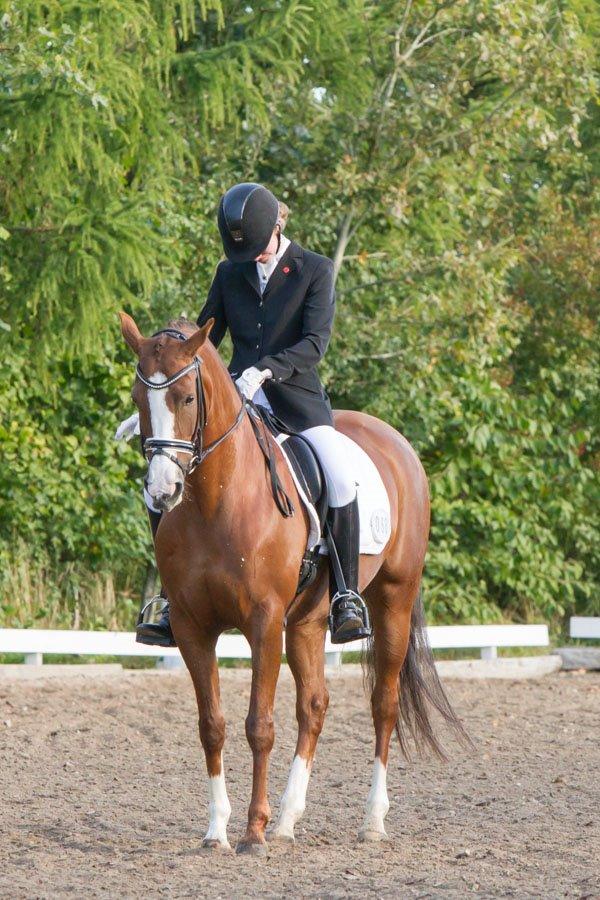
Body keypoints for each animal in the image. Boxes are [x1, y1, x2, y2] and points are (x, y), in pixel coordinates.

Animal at [119, 311, 467, 854]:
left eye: (188, 398)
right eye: (139, 398)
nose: (162, 490)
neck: (216, 501)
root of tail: (395, 442)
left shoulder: (264, 624)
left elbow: (259, 725)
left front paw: (252, 832)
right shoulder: (194, 627)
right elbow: (212, 725)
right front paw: (217, 830)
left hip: (394, 599)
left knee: (383, 705)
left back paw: (371, 820)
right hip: (307, 620)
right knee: (314, 706)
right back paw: (288, 818)